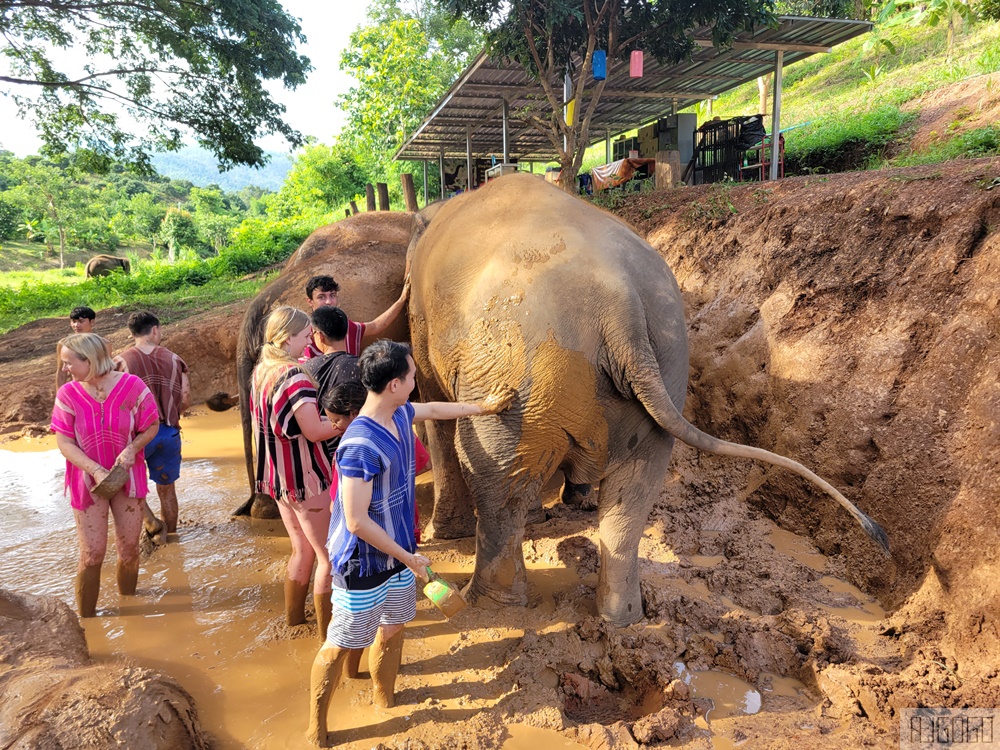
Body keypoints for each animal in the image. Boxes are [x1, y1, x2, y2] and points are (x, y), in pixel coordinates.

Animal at [406, 172, 888, 626]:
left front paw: (450, 532)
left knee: (498, 482)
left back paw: (485, 604)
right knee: (634, 492)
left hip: (522, 373)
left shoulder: (422, 323)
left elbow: (436, 408)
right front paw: (573, 499)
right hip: (665, 366)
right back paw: (622, 618)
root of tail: (620, 309)